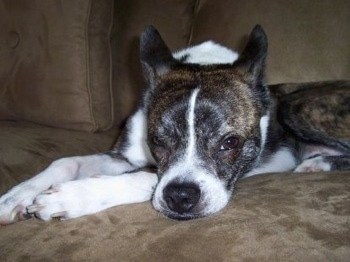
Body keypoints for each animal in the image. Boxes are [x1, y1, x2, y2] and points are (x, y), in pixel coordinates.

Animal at [0, 25, 350, 224]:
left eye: (230, 143)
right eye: (156, 140)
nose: (181, 198)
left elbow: (147, 179)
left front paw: (71, 197)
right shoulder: (124, 156)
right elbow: (66, 161)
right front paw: (17, 196)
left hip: (297, 106)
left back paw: (317, 164)